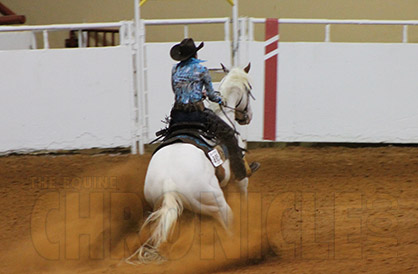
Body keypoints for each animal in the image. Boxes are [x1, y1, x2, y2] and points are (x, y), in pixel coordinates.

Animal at [126, 63, 251, 264]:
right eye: (250, 89)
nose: (247, 116)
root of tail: (169, 183)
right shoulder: (240, 176)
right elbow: (243, 189)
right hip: (217, 205)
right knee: (228, 225)